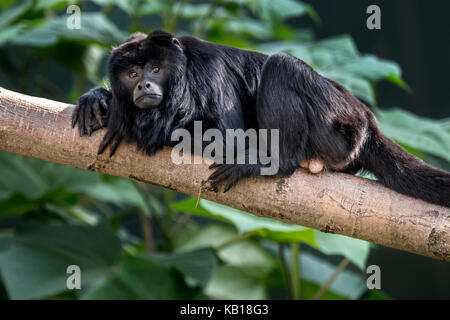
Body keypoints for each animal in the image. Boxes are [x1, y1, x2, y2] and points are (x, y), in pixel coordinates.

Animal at [72, 30, 450, 208]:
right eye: (133, 73)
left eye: (154, 69)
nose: (145, 84)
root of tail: (367, 120)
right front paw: (99, 101)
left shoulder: (209, 72)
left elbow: (228, 139)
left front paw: (125, 123)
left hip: (340, 130)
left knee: (282, 65)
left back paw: (273, 162)